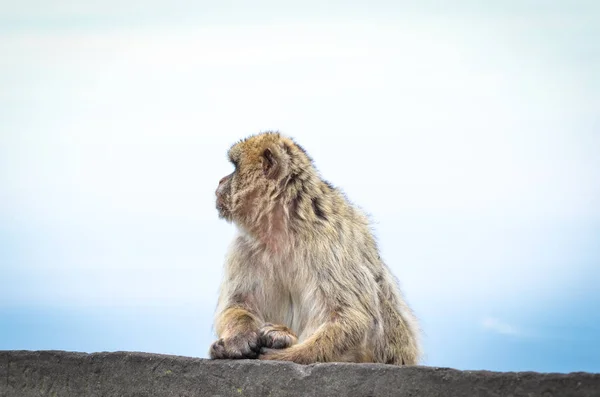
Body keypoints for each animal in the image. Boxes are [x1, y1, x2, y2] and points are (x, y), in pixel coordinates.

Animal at [209, 131, 420, 364]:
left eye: (234, 167)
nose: (220, 180)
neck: (284, 228)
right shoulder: (243, 247)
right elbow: (239, 302)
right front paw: (239, 338)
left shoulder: (328, 243)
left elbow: (353, 317)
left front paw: (284, 355)